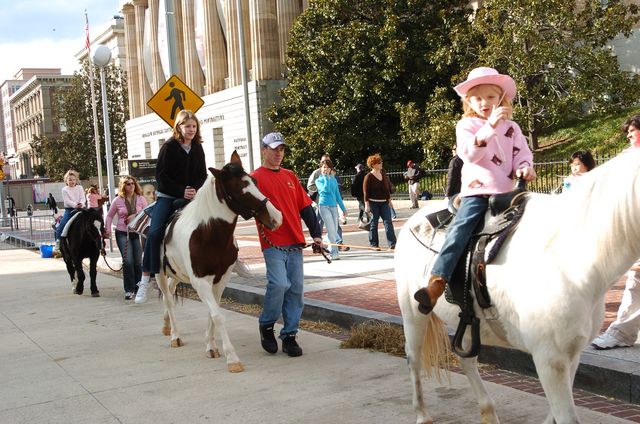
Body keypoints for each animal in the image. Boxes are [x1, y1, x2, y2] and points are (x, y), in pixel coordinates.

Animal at [157, 151, 280, 372]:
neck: (208, 233)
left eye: (255, 181)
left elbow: (213, 312)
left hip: (176, 273)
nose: (277, 217)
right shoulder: (200, 281)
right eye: (240, 189)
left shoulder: (221, 279)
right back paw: (175, 335)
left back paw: (166, 326)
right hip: (158, 273)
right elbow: (217, 315)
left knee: (169, 293)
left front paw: (211, 346)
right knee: (168, 299)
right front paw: (232, 358)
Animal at [396, 147, 640, 422]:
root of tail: (413, 220)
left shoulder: (572, 354)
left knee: (466, 360)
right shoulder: (549, 359)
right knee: (413, 357)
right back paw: (422, 414)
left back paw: (488, 412)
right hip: (413, 313)